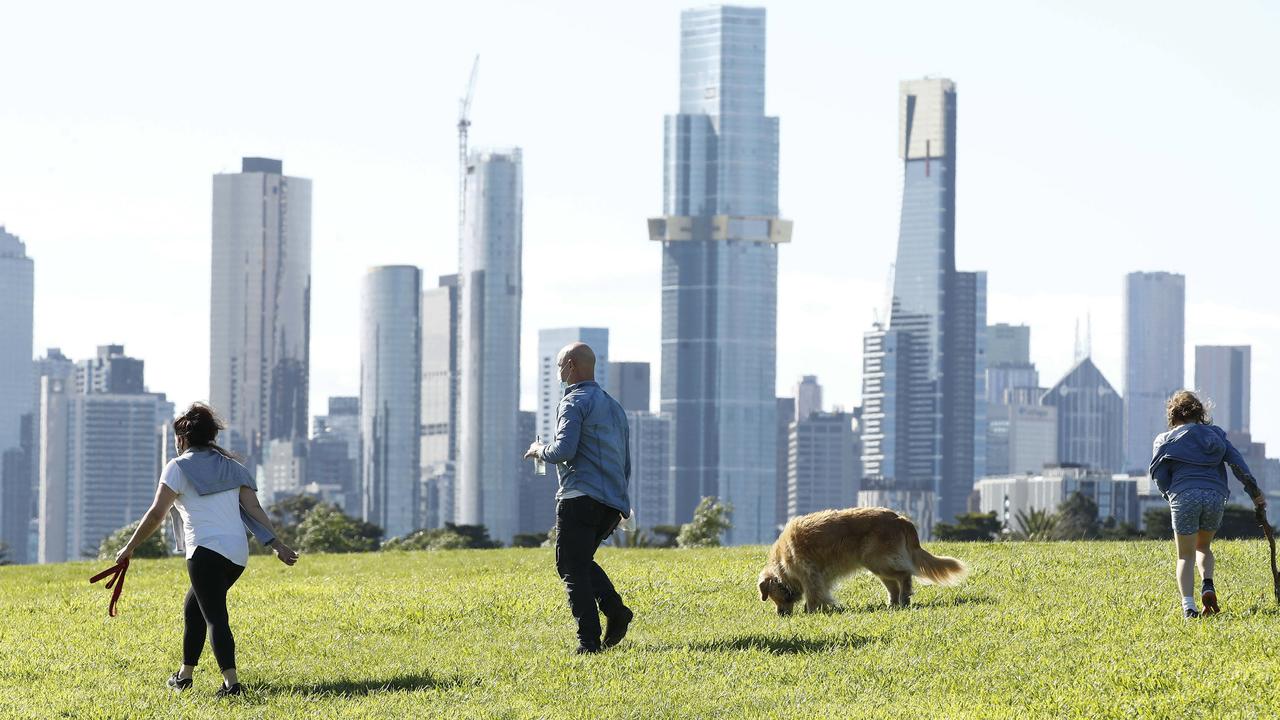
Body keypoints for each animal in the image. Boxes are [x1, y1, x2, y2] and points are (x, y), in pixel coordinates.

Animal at [752, 504, 962, 609]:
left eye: (773, 598)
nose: (781, 614)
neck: (782, 565)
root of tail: (901, 519)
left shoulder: (809, 574)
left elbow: (813, 595)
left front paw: (811, 612)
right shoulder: (820, 578)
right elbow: (822, 593)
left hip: (878, 561)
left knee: (904, 575)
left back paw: (904, 598)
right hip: (877, 565)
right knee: (893, 586)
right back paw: (892, 604)